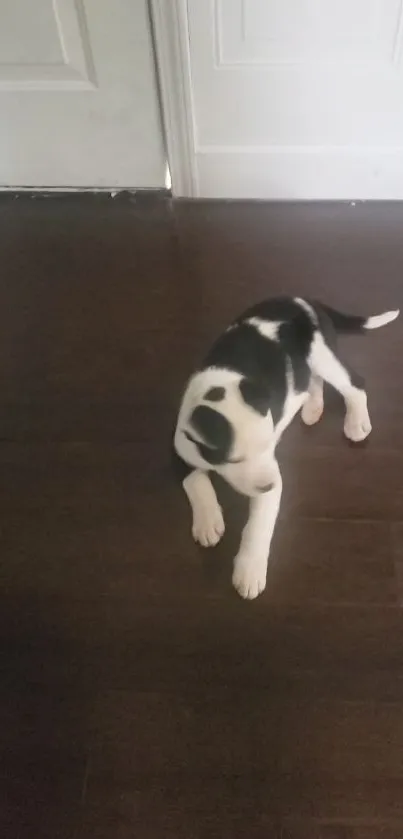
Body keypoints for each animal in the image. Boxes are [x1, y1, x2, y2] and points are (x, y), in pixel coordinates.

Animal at [173, 298, 398, 600]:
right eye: (234, 460)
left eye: (269, 445)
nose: (268, 485)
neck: (216, 387)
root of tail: (305, 301)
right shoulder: (181, 443)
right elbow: (195, 479)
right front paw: (208, 521)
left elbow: (257, 527)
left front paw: (249, 572)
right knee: (308, 380)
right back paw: (312, 407)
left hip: (320, 353)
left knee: (354, 384)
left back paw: (356, 421)